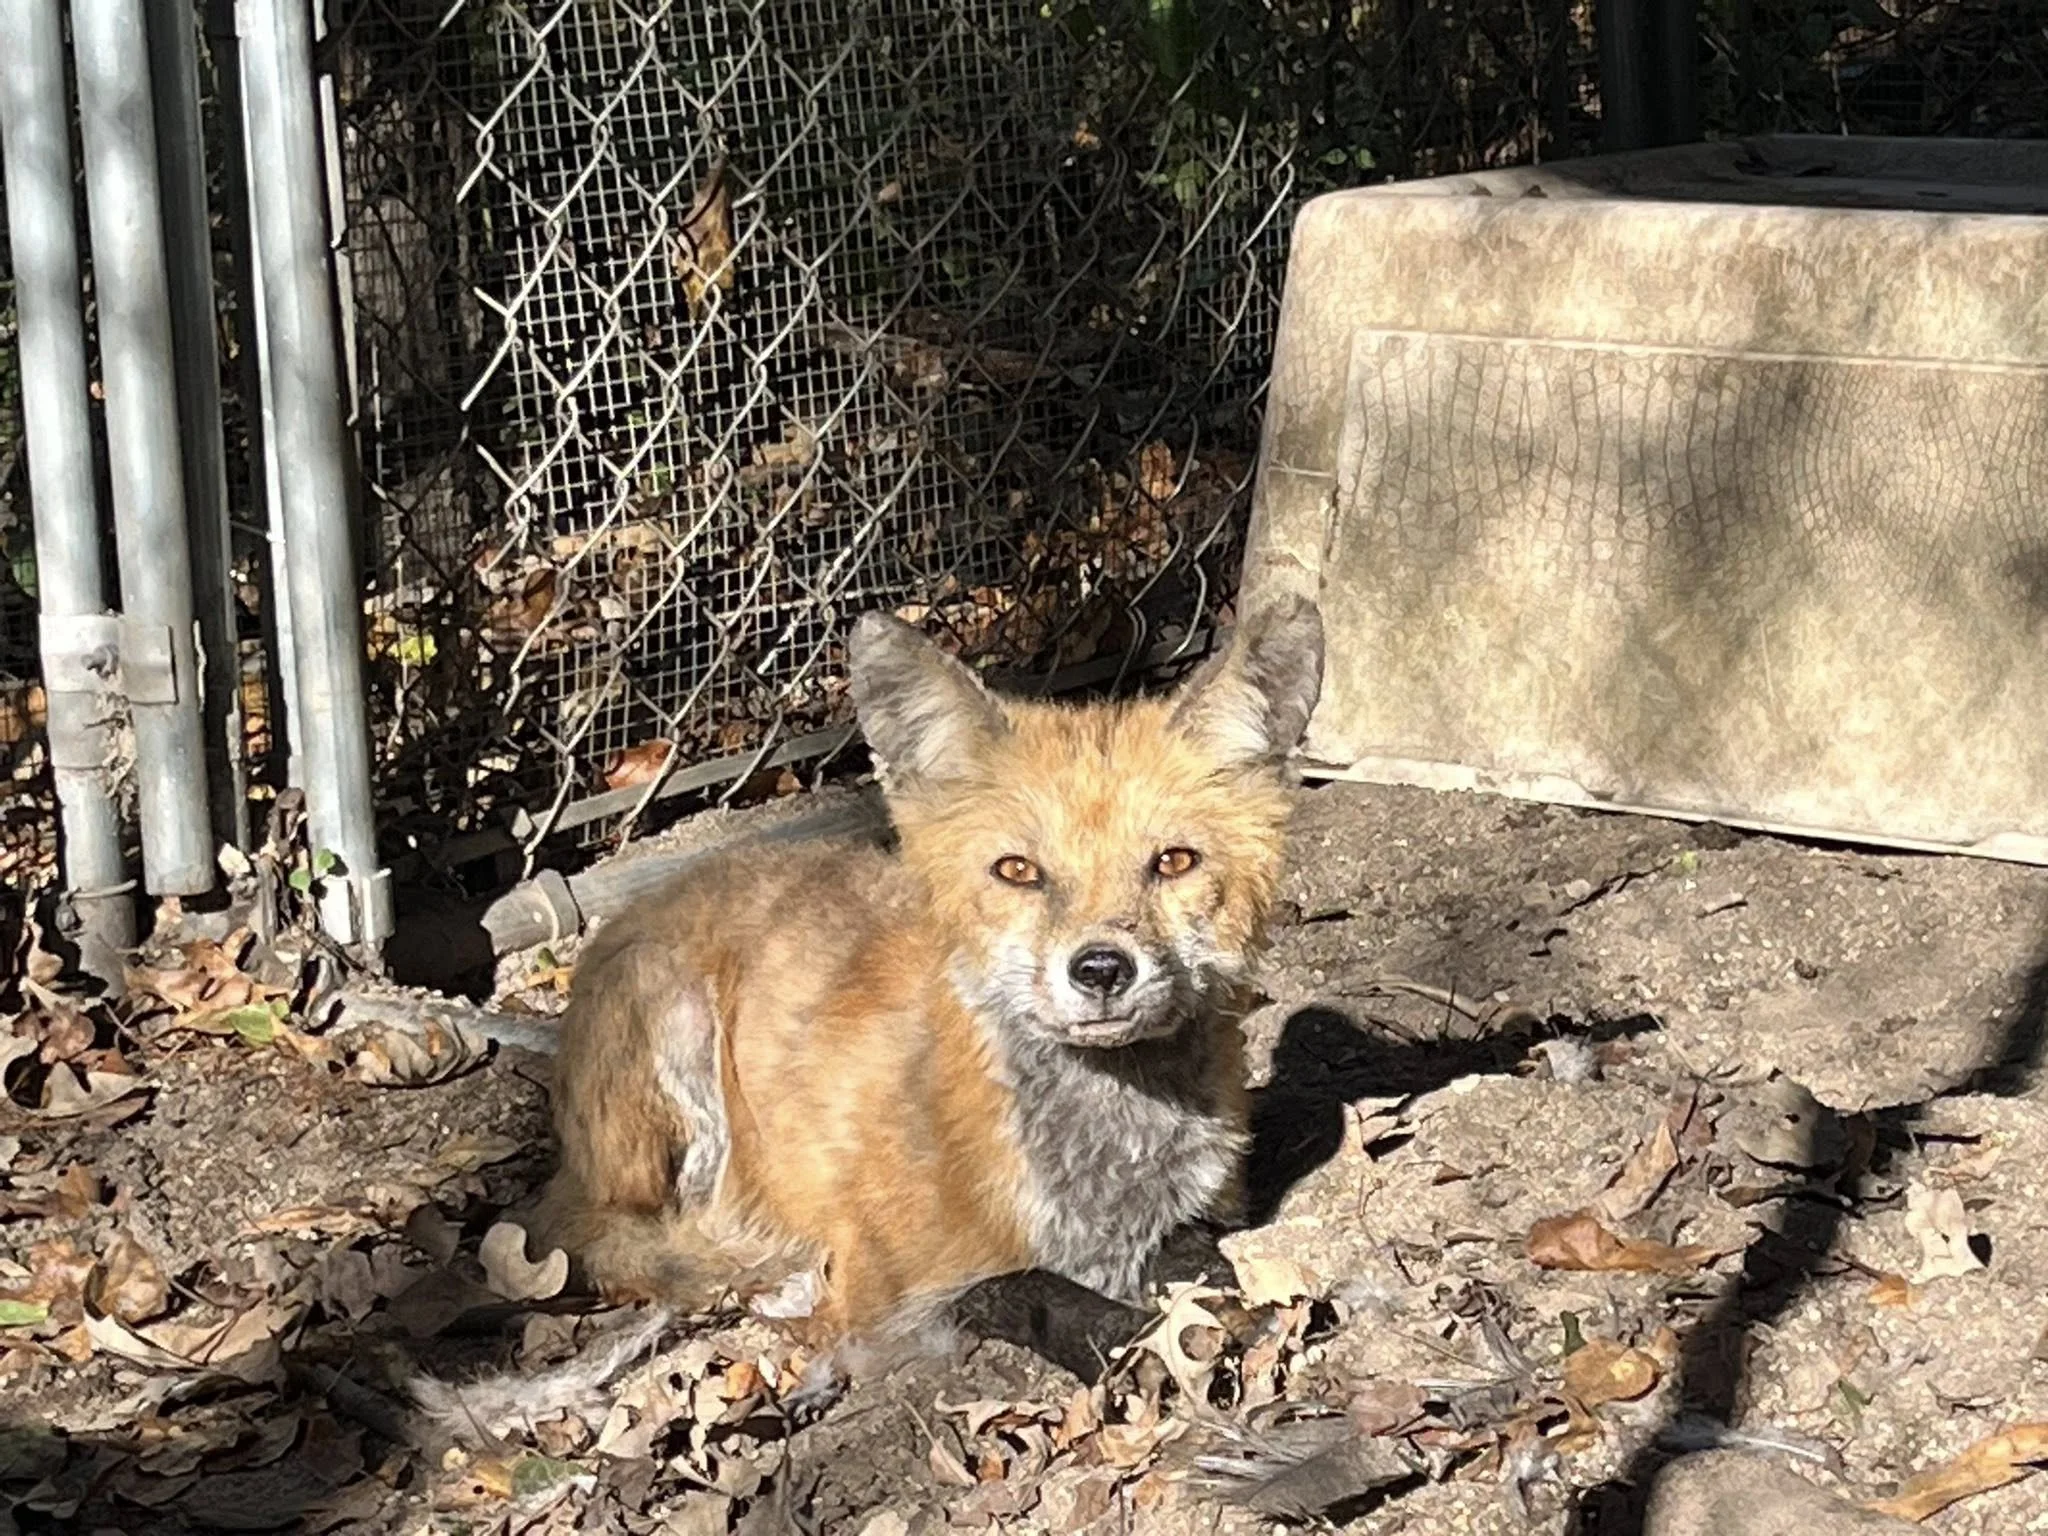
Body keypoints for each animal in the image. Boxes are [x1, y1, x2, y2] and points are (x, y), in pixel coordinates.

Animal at [530, 595, 1325, 1353]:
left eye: (1174, 862)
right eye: (1018, 871)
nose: (1101, 969)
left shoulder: (1203, 1207)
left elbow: (1208, 1258)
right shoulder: (882, 1299)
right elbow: (1039, 1296)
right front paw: (1143, 1335)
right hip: (675, 1035)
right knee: (621, 1239)